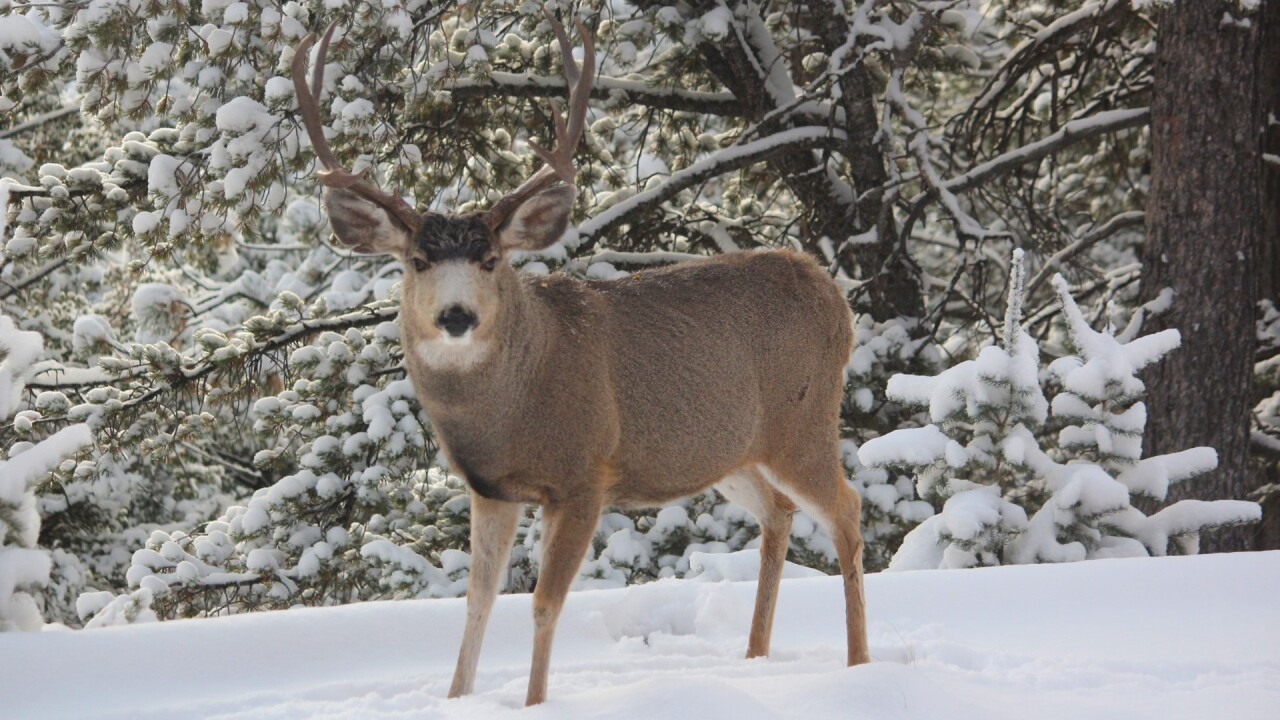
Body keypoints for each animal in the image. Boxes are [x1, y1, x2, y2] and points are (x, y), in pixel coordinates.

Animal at [292, 12, 869, 707]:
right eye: (418, 261)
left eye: (491, 259)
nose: (456, 316)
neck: (509, 411)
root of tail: (832, 294)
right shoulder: (491, 488)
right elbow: (478, 601)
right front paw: (456, 698)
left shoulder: (583, 475)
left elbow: (545, 603)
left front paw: (534, 701)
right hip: (731, 451)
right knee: (778, 514)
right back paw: (756, 657)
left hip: (802, 419)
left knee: (847, 510)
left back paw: (860, 667)